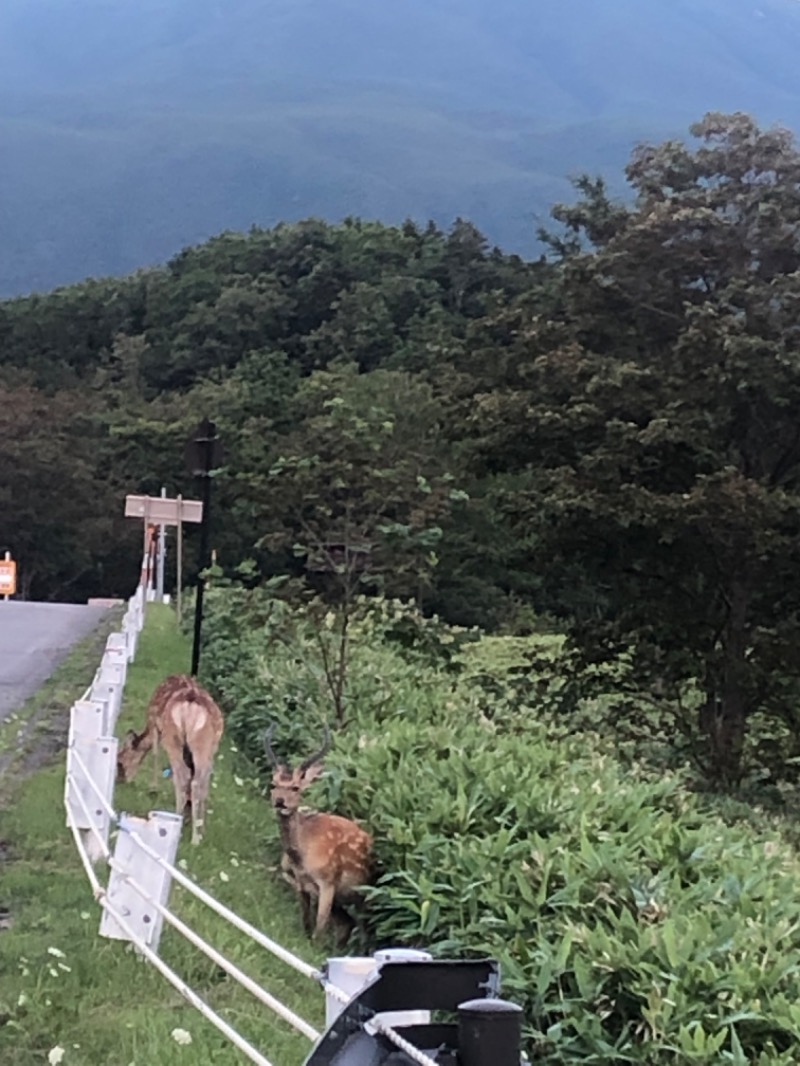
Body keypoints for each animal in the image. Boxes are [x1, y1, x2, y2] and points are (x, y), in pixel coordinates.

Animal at [115, 677, 224, 844]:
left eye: (120, 762)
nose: (120, 781)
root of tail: (190, 704)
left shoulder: (154, 722)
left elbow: (154, 753)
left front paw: (153, 788)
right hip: (205, 744)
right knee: (199, 781)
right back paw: (196, 836)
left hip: (171, 737)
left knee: (183, 776)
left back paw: (177, 824)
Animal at [264, 724, 375, 942]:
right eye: (273, 785)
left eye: (295, 787)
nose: (280, 802)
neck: (302, 856)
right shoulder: (300, 881)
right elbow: (306, 922)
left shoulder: (328, 881)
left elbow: (319, 928)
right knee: (346, 924)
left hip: (361, 893)